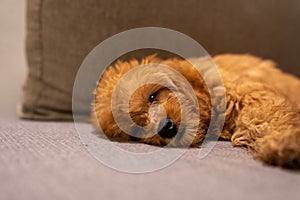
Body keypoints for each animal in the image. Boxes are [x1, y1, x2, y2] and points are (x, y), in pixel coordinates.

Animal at [94, 54, 300, 168]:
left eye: (152, 96)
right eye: (137, 128)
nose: (165, 128)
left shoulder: (250, 94)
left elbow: (265, 117)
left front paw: (285, 143)